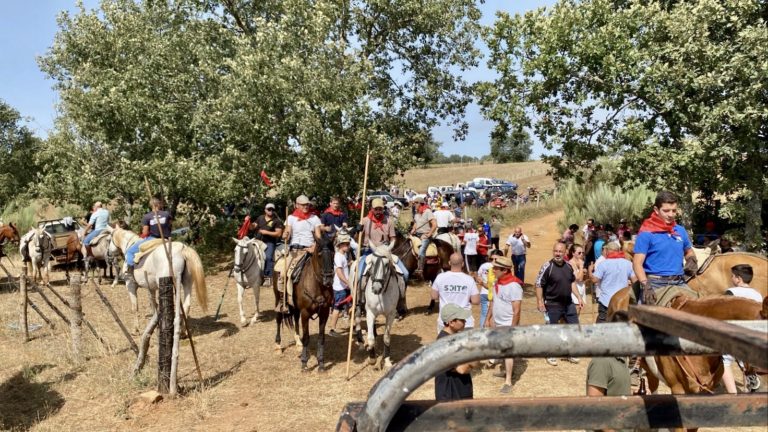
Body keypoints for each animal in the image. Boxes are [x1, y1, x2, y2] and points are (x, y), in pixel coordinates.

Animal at [272, 233, 334, 372]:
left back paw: (298, 343)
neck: (317, 286)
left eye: (333, 253)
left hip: (295, 306)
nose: (328, 279)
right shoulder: (305, 313)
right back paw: (278, 346)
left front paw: (321, 363)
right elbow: (306, 337)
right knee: (278, 317)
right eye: (319, 254)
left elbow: (321, 338)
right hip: (278, 298)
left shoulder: (324, 313)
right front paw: (304, 363)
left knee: (295, 318)